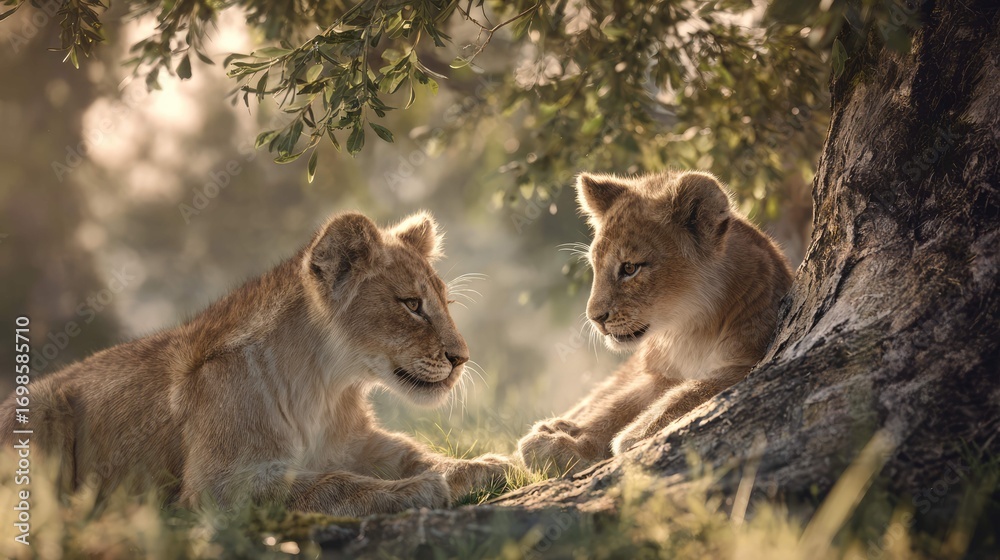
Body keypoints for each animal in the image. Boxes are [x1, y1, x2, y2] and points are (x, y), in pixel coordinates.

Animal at [1, 211, 509, 516]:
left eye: (444, 303)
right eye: (412, 305)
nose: (461, 359)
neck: (324, 386)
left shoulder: (359, 441)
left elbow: (412, 451)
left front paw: (480, 465)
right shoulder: (217, 483)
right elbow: (326, 484)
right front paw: (416, 491)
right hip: (41, 408)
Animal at [517, 170, 793, 474]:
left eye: (629, 268)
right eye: (595, 266)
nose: (595, 318)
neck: (689, 330)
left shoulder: (750, 359)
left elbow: (695, 390)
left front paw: (635, 434)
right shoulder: (659, 374)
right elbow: (615, 408)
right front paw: (566, 443)